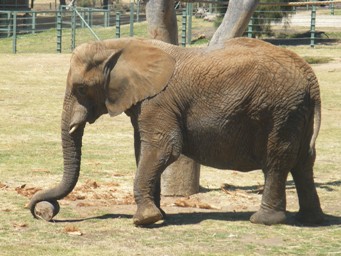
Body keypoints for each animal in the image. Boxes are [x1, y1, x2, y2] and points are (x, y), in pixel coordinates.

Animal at [27, 36, 322, 226]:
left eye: (80, 88)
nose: (46, 212)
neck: (119, 46)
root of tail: (311, 78)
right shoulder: (145, 102)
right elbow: (143, 150)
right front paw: (159, 215)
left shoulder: (158, 101)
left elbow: (163, 149)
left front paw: (145, 220)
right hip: (296, 113)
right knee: (303, 163)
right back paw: (309, 218)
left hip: (280, 111)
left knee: (277, 161)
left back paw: (263, 221)